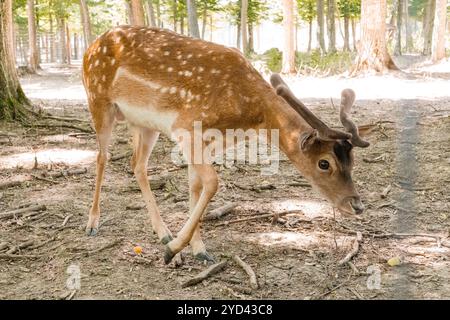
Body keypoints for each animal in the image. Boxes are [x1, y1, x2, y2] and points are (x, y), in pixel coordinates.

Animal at [81, 25, 370, 264]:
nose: (356, 205)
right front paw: (174, 250)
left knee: (137, 164)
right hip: (98, 101)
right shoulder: (186, 128)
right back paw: (93, 223)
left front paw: (198, 250)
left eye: (352, 161)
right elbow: (213, 183)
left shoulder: (206, 143)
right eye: (324, 163)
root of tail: (90, 47)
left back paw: (162, 232)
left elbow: (196, 187)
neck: (249, 116)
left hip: (144, 124)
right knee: (102, 157)